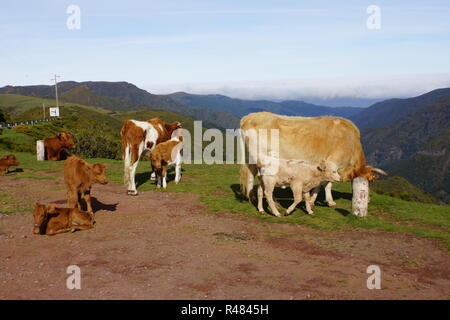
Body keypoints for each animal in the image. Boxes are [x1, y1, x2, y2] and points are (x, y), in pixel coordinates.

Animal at [239, 112, 386, 210]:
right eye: (370, 182)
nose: (368, 200)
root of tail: (249, 117)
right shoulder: (333, 163)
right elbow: (326, 184)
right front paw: (324, 201)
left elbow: (323, 183)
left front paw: (313, 200)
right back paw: (273, 203)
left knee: (252, 175)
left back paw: (251, 197)